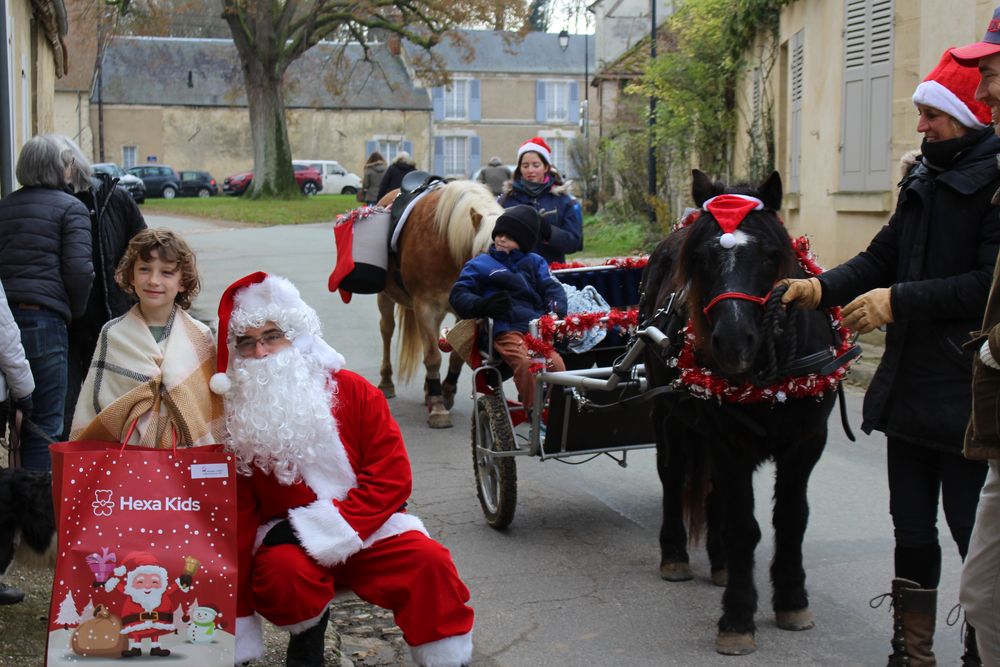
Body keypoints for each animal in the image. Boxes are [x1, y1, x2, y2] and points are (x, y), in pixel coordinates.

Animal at [374, 180, 504, 428]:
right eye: (486, 255)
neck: (447, 246)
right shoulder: (425, 306)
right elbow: (433, 356)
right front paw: (437, 407)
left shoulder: (464, 311)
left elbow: (456, 355)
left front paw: (446, 393)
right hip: (386, 297)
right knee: (387, 331)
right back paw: (387, 382)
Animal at [640, 171, 836, 656]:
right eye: (702, 258)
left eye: (770, 254)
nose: (734, 342)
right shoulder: (729, 443)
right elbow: (744, 526)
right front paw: (737, 618)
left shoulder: (807, 443)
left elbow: (791, 519)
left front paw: (792, 600)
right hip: (669, 416)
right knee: (672, 475)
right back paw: (676, 555)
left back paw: (721, 561)